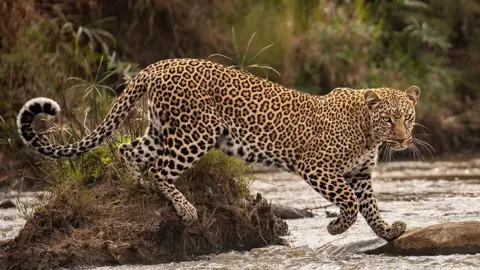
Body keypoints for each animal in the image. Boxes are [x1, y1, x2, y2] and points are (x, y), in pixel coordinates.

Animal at [15, 57, 420, 240]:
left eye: (408, 117)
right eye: (388, 119)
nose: (403, 140)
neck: (368, 132)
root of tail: (158, 65)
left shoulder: (360, 174)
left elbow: (370, 206)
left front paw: (388, 231)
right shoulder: (317, 166)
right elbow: (350, 203)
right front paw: (336, 227)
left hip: (162, 130)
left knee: (128, 151)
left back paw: (135, 188)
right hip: (196, 134)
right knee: (159, 169)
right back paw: (185, 209)